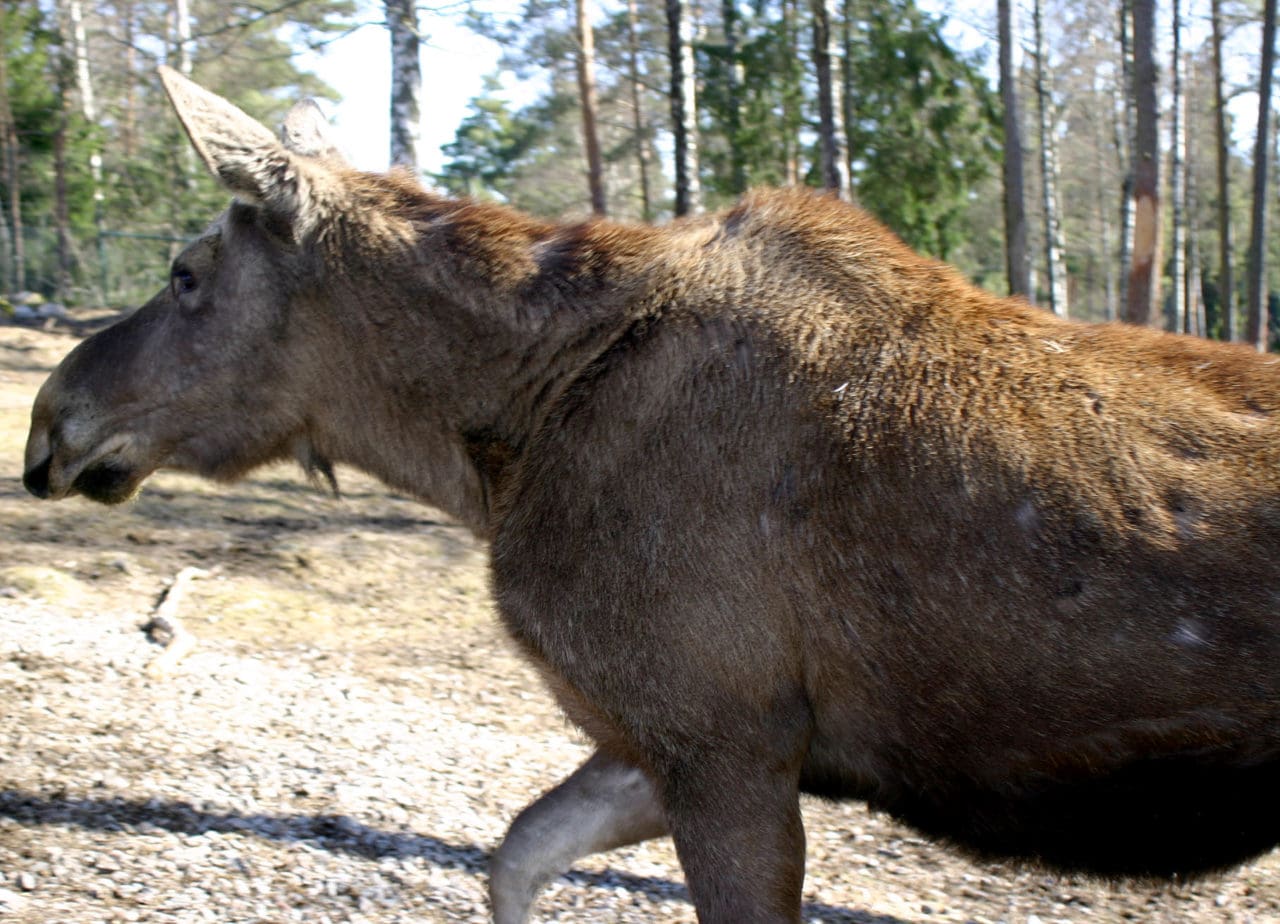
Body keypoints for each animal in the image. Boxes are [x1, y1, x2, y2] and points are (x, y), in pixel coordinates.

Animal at [22, 68, 1280, 916]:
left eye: (186, 273)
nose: (47, 422)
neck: (499, 452)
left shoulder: (721, 736)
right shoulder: (655, 734)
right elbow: (513, 855)